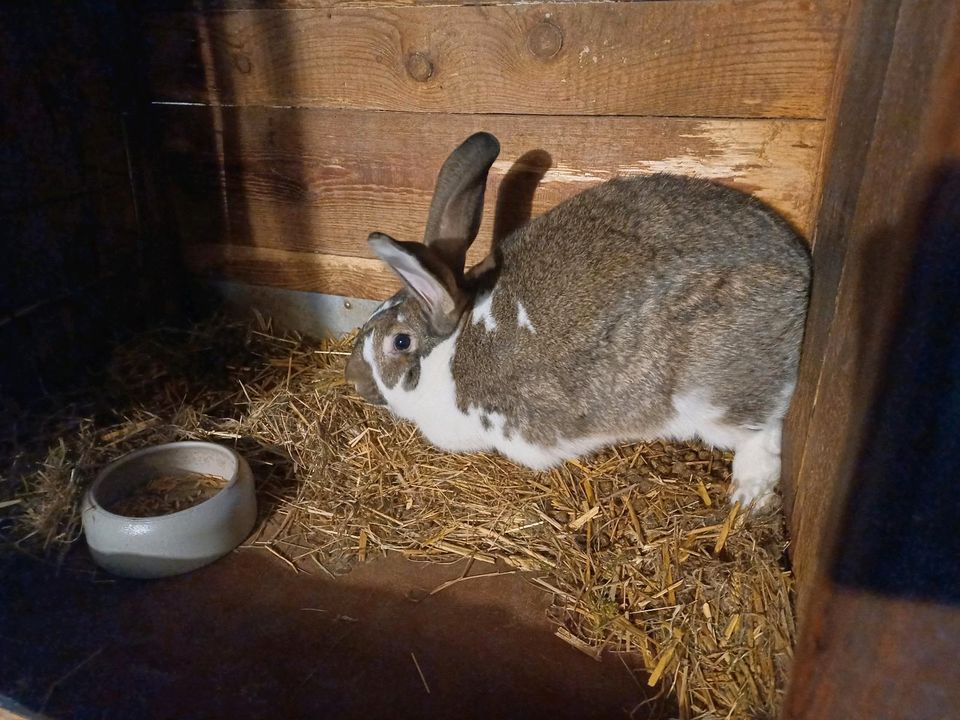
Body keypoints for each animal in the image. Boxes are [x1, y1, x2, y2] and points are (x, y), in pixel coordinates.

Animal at [344, 132, 808, 510]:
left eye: (399, 342)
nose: (353, 378)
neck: (453, 349)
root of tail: (803, 277)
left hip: (712, 395)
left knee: (763, 429)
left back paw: (747, 495)